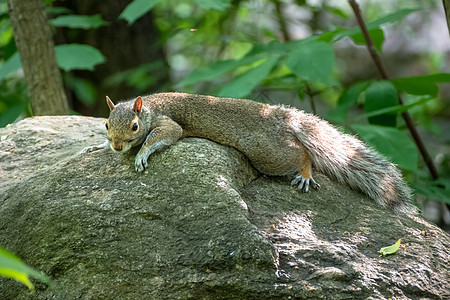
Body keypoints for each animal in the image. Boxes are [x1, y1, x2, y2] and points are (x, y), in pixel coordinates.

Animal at [81, 92, 414, 213]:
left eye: (135, 126)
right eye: (106, 123)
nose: (118, 146)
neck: (149, 107)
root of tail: (284, 119)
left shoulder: (168, 122)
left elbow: (165, 136)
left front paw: (141, 154)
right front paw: (96, 146)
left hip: (267, 152)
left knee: (303, 154)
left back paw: (305, 174)